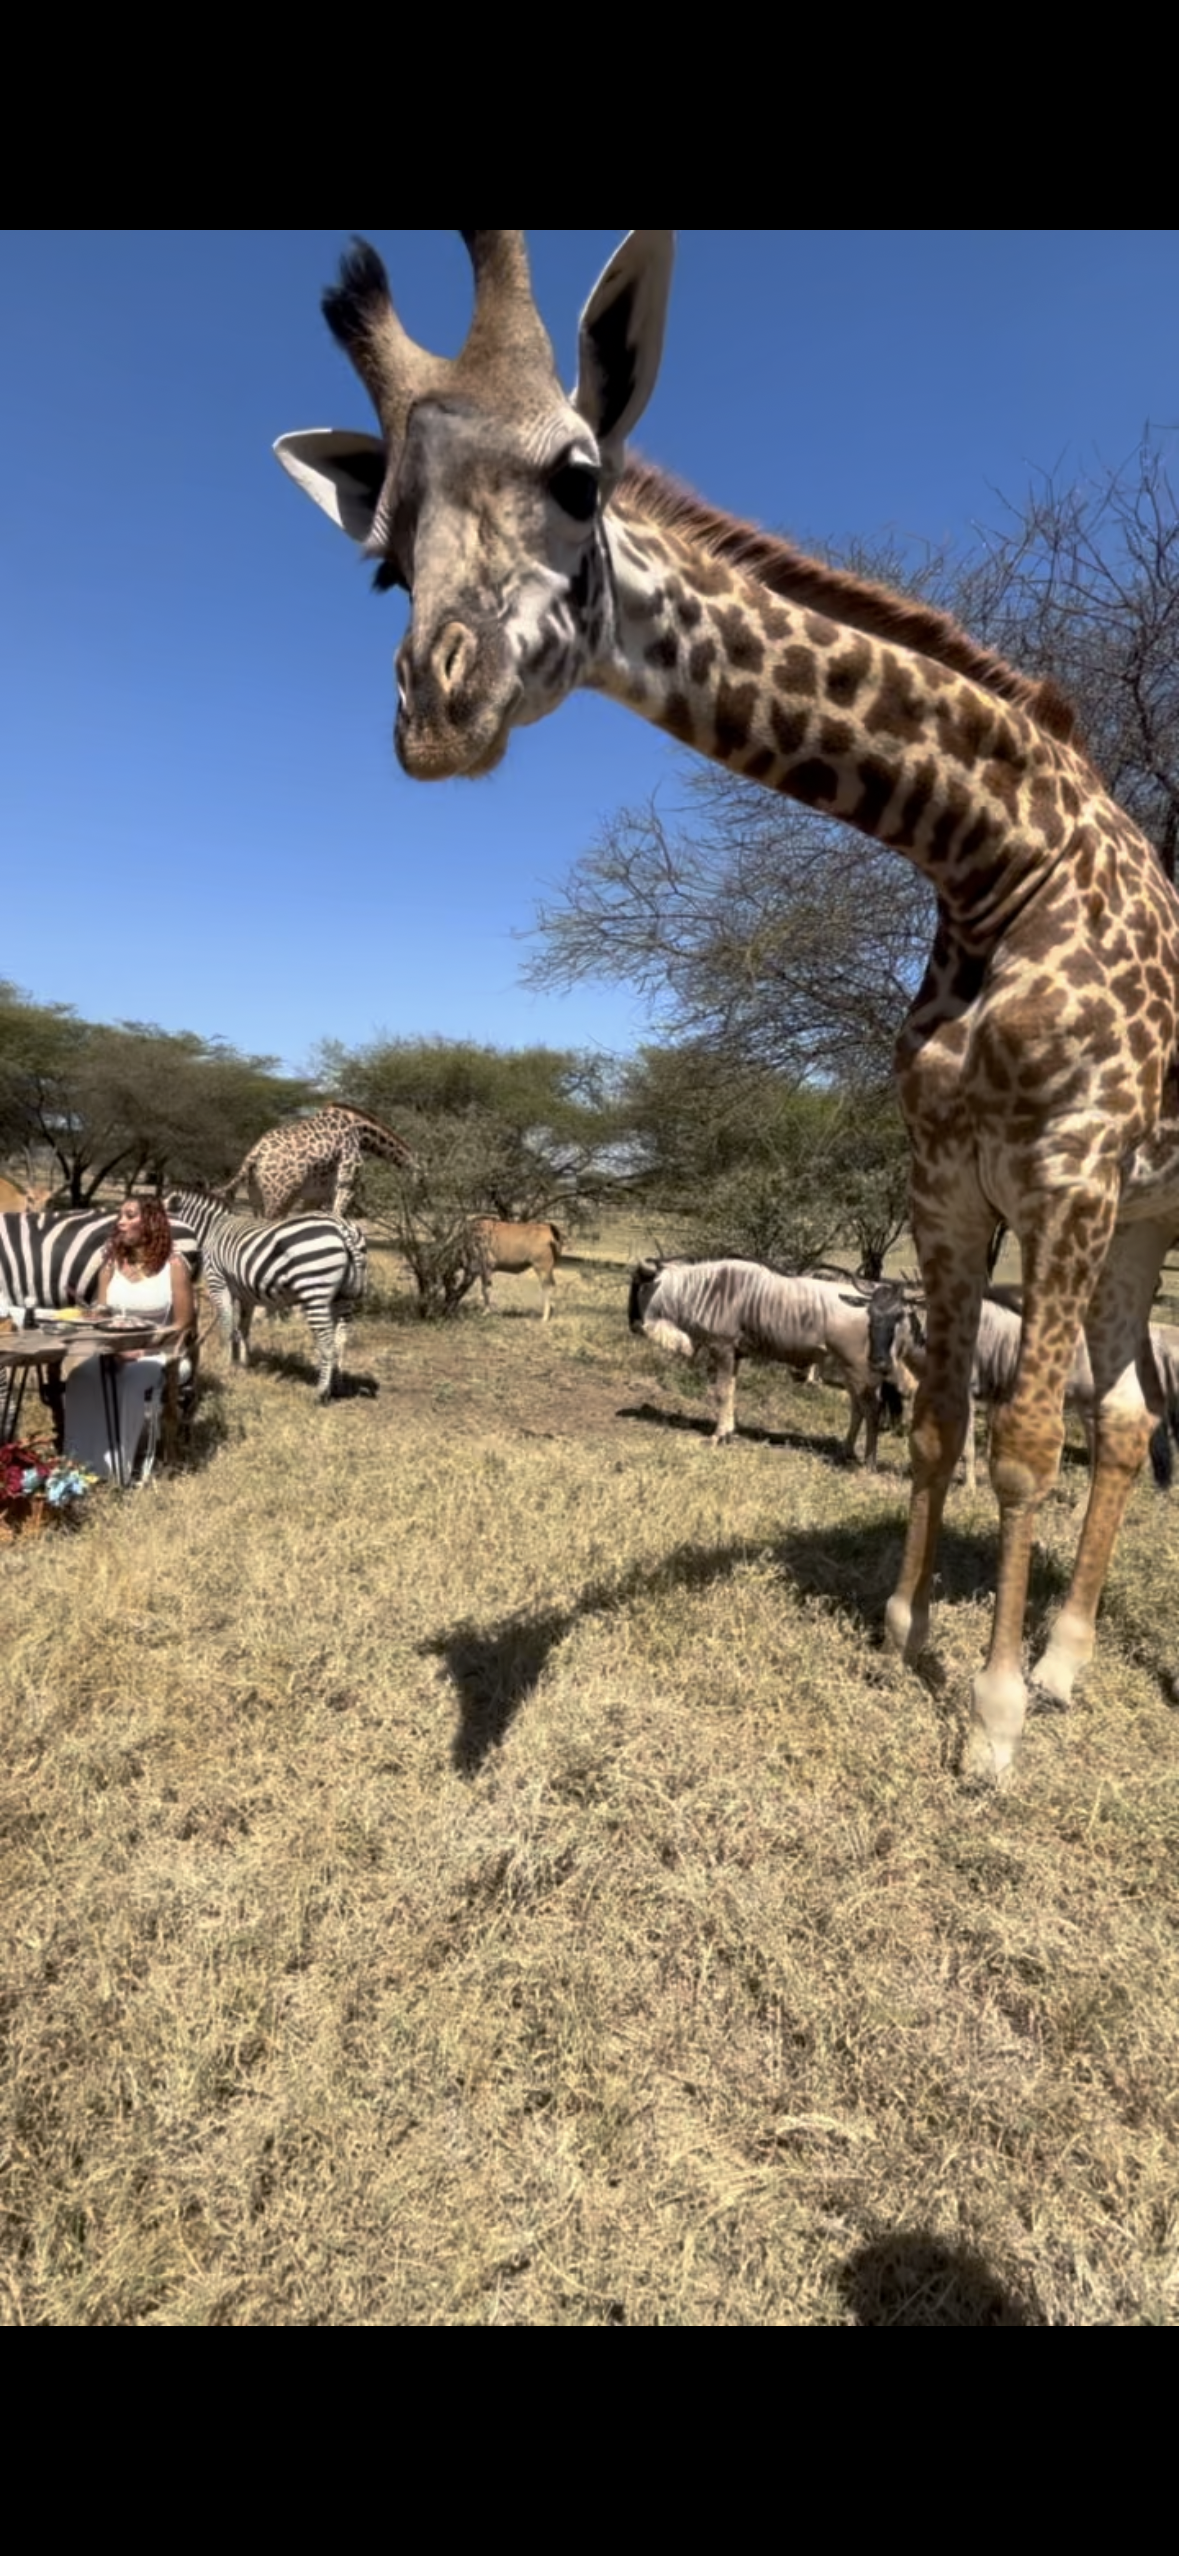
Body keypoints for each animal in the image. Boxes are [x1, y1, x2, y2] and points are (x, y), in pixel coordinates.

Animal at [167, 1192, 367, 1403]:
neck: (211, 1230)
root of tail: (342, 1227)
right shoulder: (246, 1294)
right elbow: (243, 1328)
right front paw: (244, 1364)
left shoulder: (218, 1282)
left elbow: (227, 1326)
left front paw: (225, 1365)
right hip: (344, 1298)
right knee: (340, 1340)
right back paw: (337, 1386)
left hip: (315, 1291)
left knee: (327, 1342)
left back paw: (320, 1393)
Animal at [221, 1105, 416, 1222]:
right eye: (420, 1178)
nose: (415, 1195)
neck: (361, 1132)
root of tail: (253, 1155)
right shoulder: (346, 1186)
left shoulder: (316, 1195)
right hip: (279, 1197)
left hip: (257, 1197)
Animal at [275, 230, 1179, 1782]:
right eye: (383, 555)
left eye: (580, 475)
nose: (435, 710)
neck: (993, 860)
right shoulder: (947, 1179)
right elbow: (938, 1419)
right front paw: (912, 1635)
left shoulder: (1061, 1169)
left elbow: (1016, 1444)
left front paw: (988, 1724)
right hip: (1143, 1220)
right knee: (1123, 1421)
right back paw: (1069, 1662)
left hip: (1136, 1207)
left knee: (1104, 1423)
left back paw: (1053, 1677)